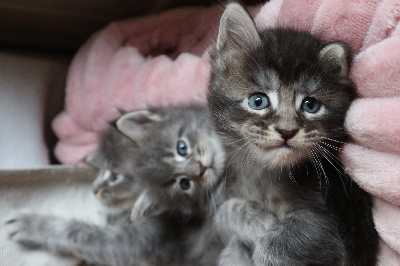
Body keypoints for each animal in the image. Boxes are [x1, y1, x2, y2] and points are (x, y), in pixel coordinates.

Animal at [208, 2, 380, 266]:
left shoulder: (327, 224)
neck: (266, 174)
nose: (286, 130)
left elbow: (273, 249)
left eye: (310, 105)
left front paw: (264, 235)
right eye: (258, 101)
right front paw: (261, 222)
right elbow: (225, 212)